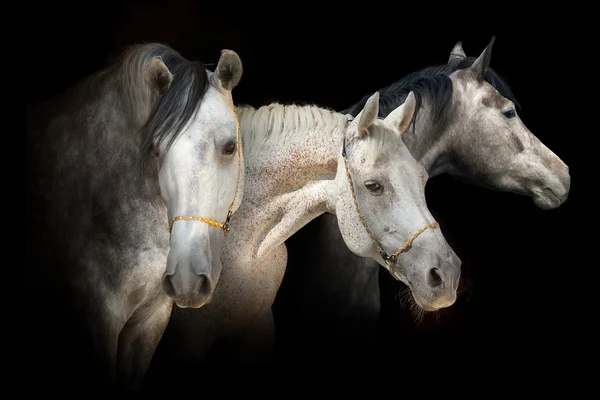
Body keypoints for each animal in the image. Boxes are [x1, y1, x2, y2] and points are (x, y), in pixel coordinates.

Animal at [146, 88, 464, 378]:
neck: (240, 248)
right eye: (374, 186)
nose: (447, 275)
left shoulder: (256, 329)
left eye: (422, 178)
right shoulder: (188, 340)